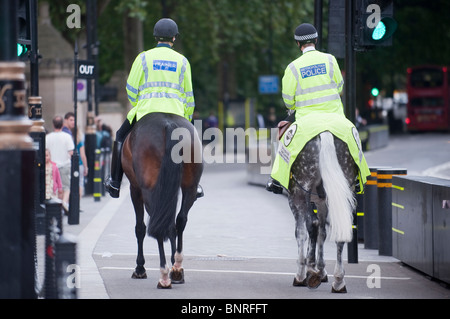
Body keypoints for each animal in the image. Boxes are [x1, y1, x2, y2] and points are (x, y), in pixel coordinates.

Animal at [121, 113, 202, 290]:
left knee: (161, 225)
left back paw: (164, 275)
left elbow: (140, 228)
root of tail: (168, 124)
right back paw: (176, 268)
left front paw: (140, 268)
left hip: (150, 190)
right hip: (190, 187)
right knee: (179, 220)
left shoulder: (135, 189)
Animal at [288, 131, 358, 294]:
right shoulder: (321, 201)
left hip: (302, 189)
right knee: (340, 231)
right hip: (343, 189)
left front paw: (303, 273)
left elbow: (302, 232)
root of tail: (326, 132)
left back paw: (308, 272)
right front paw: (320, 270)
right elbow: (322, 232)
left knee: (309, 225)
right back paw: (338, 281)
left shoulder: (295, 198)